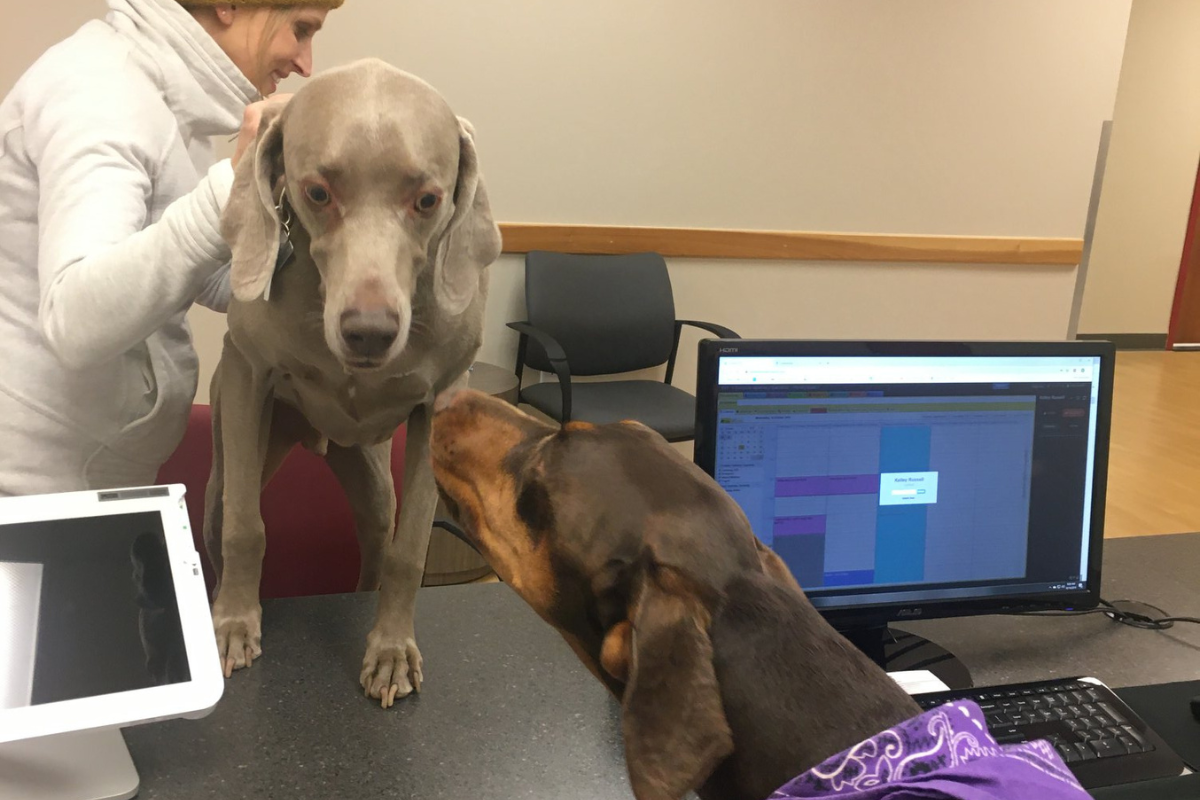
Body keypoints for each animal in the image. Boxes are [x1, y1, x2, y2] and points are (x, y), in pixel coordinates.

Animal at [206, 57, 501, 705]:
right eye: (317, 192)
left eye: (427, 199)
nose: (369, 332)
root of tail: (319, 440)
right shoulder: (246, 373)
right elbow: (247, 527)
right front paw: (235, 624)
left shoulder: (437, 407)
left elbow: (409, 549)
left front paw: (390, 652)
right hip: (234, 457)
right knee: (221, 518)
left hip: (369, 472)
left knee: (376, 535)